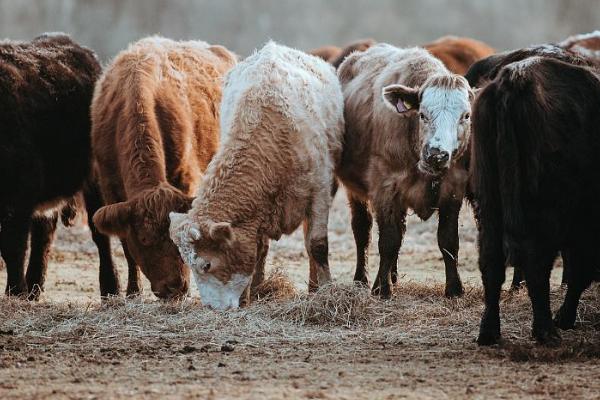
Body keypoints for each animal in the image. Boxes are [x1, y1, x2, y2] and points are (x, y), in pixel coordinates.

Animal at [171, 41, 344, 310]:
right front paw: (251, 294)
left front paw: (326, 292)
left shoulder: (320, 190)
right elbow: (258, 249)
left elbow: (317, 244)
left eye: (207, 264)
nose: (211, 308)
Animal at [338, 45, 474, 298]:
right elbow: (388, 240)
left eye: (466, 115)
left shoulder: (453, 189)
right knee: (362, 231)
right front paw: (381, 289)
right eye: (423, 114)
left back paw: (392, 275)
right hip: (355, 191)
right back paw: (362, 279)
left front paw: (454, 288)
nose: (436, 154)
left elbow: (448, 240)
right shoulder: (385, 189)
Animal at [468, 47, 600, 346]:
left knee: (491, 261)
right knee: (537, 263)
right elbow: (578, 270)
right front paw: (565, 317)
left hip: (490, 205)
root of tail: (517, 78)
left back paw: (489, 332)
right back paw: (546, 330)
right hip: (547, 211)